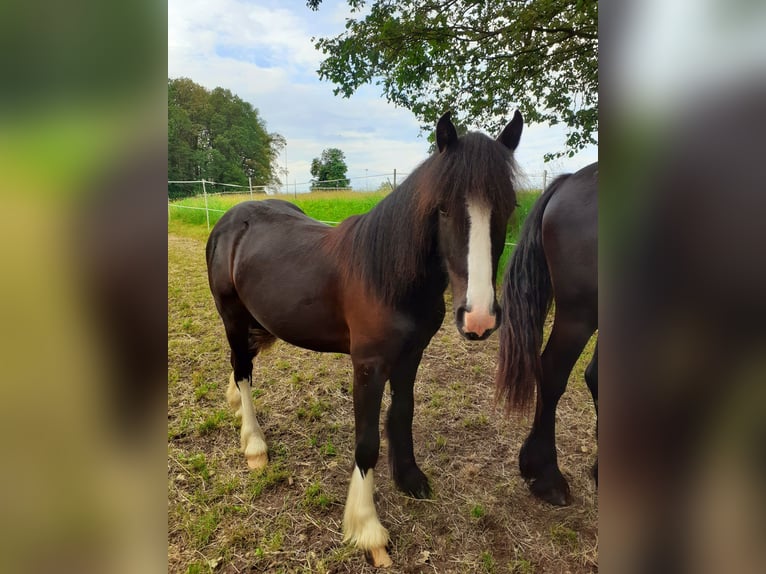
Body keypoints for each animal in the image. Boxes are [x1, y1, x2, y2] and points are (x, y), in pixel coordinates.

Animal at [207, 111, 524, 568]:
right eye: (443, 208)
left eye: (508, 206)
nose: (478, 317)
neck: (388, 277)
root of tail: (231, 218)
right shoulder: (368, 367)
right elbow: (367, 442)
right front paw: (368, 530)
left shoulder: (411, 356)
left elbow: (403, 414)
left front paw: (410, 479)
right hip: (232, 316)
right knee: (243, 370)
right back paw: (254, 446)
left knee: (240, 367)